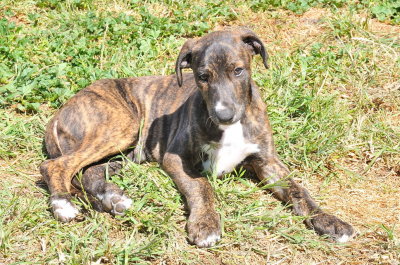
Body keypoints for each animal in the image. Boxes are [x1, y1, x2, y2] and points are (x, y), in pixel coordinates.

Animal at [40, 27, 354, 246]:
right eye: (203, 76)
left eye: (238, 71)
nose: (224, 114)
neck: (232, 127)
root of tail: (61, 110)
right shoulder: (176, 159)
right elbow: (202, 187)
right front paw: (206, 225)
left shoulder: (267, 161)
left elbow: (298, 191)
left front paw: (329, 221)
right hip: (122, 125)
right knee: (56, 166)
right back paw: (63, 205)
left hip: (127, 151)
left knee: (88, 172)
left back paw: (113, 198)